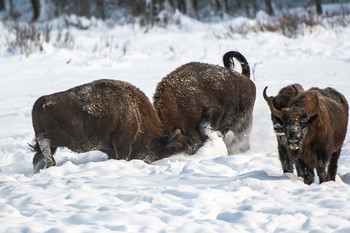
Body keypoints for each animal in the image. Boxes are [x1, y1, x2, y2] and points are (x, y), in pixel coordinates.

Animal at [30, 79, 189, 173]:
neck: (137, 112)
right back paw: (52, 164)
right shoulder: (122, 143)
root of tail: (44, 100)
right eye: (172, 148)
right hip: (65, 137)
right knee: (44, 140)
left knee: (38, 155)